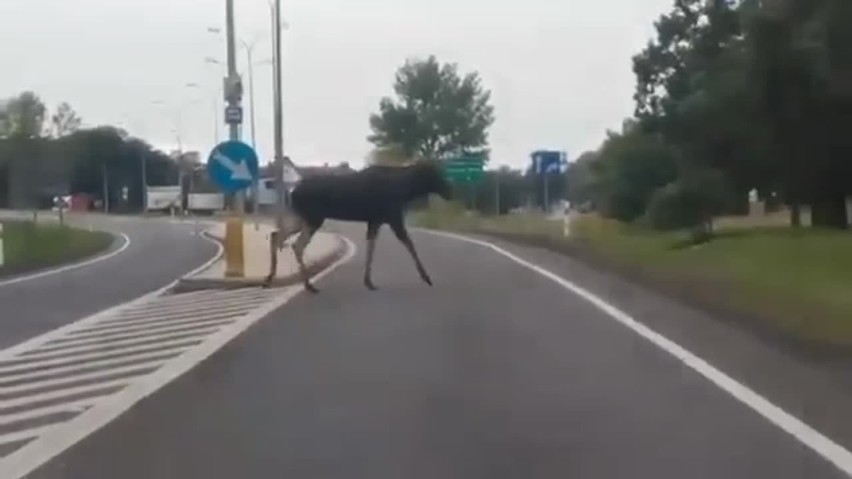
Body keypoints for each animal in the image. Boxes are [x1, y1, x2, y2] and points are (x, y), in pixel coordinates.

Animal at [264, 160, 452, 292]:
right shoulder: (393, 218)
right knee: (297, 244)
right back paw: (308, 285)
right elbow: (409, 244)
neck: (405, 189)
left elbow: (371, 247)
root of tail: (292, 192)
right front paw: (426, 277)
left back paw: (270, 278)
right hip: (314, 218)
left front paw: (368, 281)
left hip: (304, 217)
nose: (449, 192)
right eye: (435, 175)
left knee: (277, 235)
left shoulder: (375, 221)